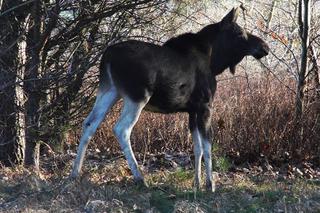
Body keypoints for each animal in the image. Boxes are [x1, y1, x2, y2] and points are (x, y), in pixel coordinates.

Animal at [70, 7, 270, 191]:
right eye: (239, 32)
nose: (265, 47)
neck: (215, 62)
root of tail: (107, 57)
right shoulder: (205, 106)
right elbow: (207, 146)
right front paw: (210, 184)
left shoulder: (192, 110)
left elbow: (197, 148)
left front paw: (196, 183)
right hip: (137, 96)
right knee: (121, 129)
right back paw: (140, 178)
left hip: (109, 91)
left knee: (89, 124)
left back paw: (75, 173)